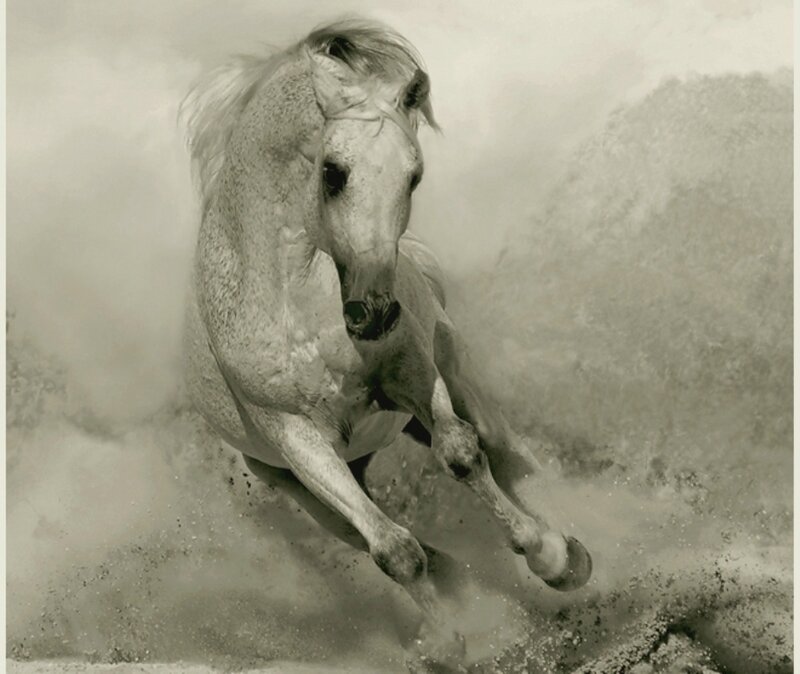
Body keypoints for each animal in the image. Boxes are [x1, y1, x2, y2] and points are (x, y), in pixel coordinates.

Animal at [180, 18, 592, 667]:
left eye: (413, 175)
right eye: (333, 172)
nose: (373, 314)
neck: (296, 304)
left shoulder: (412, 374)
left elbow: (461, 454)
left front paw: (551, 556)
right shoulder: (298, 440)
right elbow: (392, 551)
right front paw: (451, 643)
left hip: (451, 372)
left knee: (505, 452)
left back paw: (566, 544)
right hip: (304, 482)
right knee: (373, 535)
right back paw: (456, 591)